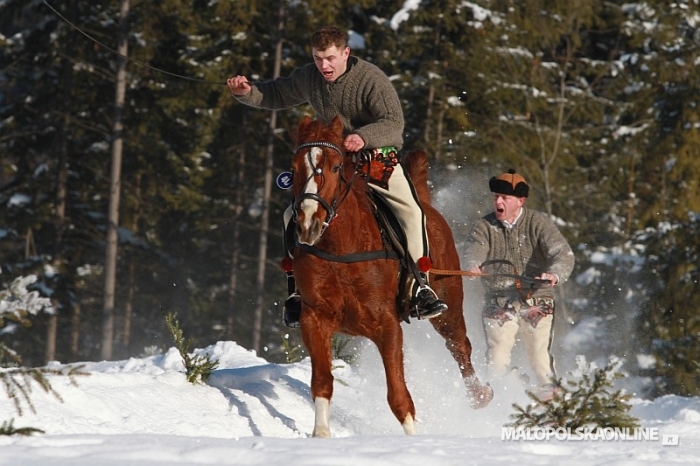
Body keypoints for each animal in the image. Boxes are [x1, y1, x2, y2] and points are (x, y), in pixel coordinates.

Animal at [290, 114, 492, 436]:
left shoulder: (386, 325)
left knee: (459, 345)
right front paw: (321, 433)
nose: (308, 222)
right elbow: (322, 383)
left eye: (335, 167)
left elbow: (398, 395)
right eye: (295, 168)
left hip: (449, 305)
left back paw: (479, 396)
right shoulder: (314, 319)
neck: (342, 248)